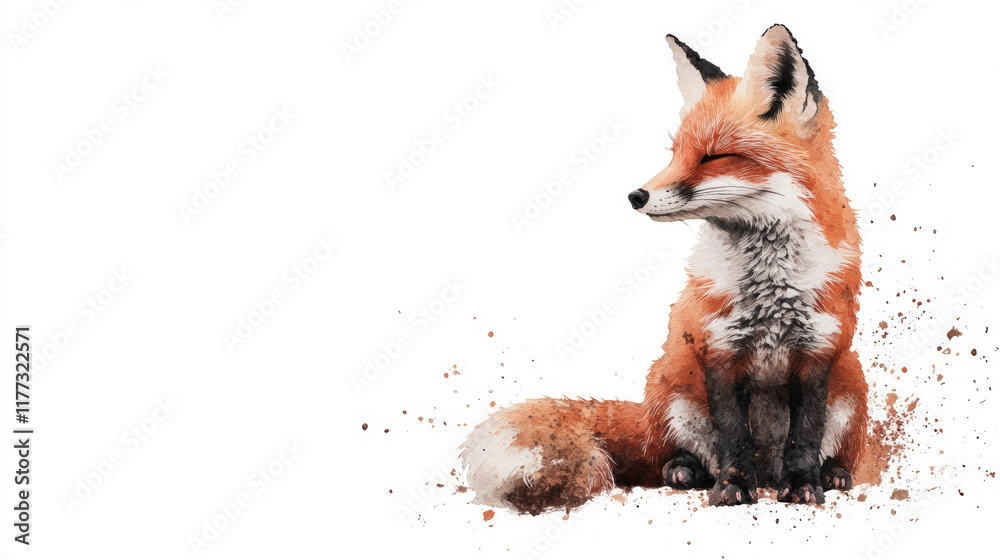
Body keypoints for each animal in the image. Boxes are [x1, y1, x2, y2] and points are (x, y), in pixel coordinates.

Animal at [460, 24, 867, 513]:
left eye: (713, 157)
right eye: (675, 153)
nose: (636, 196)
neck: (769, 283)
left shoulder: (818, 351)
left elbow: (805, 433)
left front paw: (805, 486)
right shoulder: (718, 349)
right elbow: (733, 436)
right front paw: (732, 489)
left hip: (852, 385)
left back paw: (833, 474)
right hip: (671, 388)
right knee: (672, 456)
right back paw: (685, 470)